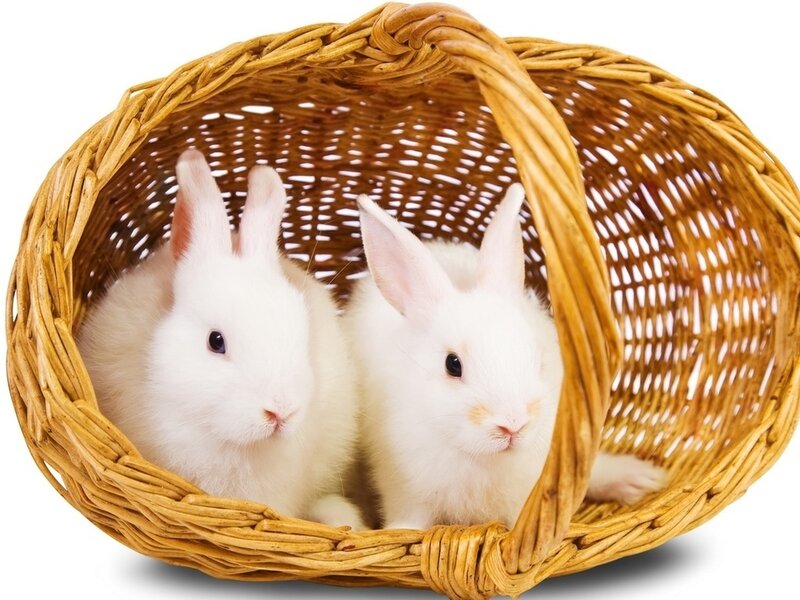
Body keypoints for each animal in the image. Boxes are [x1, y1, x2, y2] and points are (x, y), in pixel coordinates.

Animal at [345, 183, 667, 530]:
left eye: (537, 357)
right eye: (452, 365)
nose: (513, 426)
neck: (481, 458)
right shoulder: (406, 494)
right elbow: (407, 524)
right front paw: (395, 533)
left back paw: (639, 479)